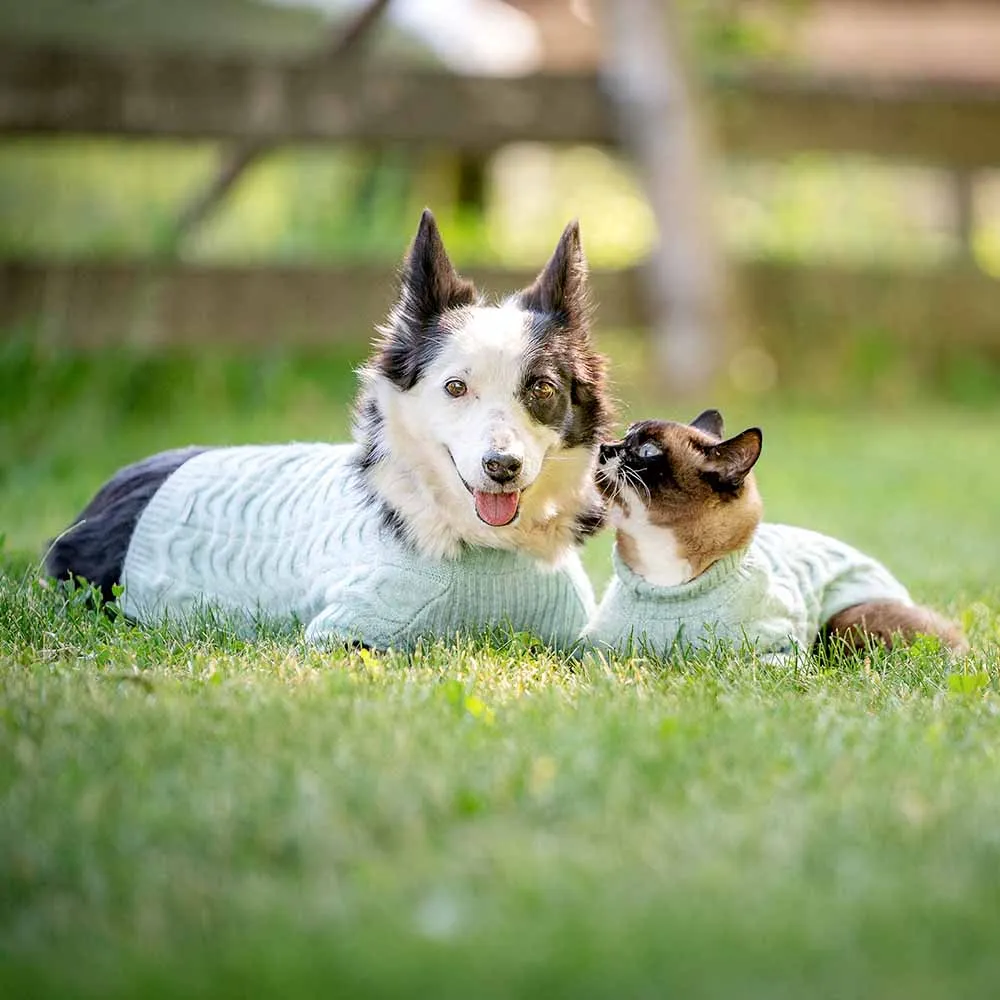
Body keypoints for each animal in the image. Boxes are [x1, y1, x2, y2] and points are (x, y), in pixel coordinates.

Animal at [584, 410, 968, 660]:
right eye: (625, 436)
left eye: (647, 452)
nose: (605, 447)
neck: (665, 581)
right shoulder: (597, 652)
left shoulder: (774, 657)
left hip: (846, 623)